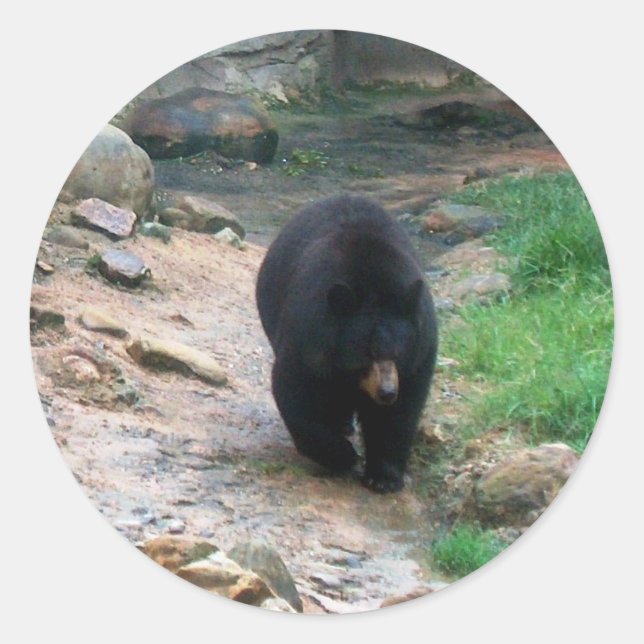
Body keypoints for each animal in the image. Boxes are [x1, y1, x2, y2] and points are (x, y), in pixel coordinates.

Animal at [256, 195, 438, 493]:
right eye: (365, 355)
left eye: (398, 353)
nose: (386, 392)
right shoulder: (308, 337)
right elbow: (296, 392)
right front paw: (343, 456)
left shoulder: (420, 351)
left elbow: (401, 412)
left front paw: (383, 477)